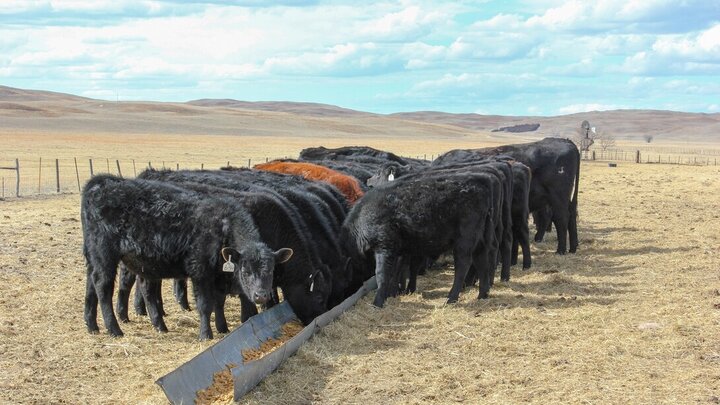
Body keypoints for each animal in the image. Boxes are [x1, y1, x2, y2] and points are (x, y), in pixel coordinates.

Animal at [81, 174, 292, 340]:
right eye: (245, 271)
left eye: (271, 270)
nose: (261, 295)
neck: (222, 225)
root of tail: (102, 183)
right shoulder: (199, 270)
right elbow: (205, 305)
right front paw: (206, 334)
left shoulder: (218, 275)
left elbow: (219, 302)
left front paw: (223, 328)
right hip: (104, 255)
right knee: (103, 286)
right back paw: (114, 329)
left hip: (103, 258)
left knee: (95, 283)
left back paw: (94, 325)